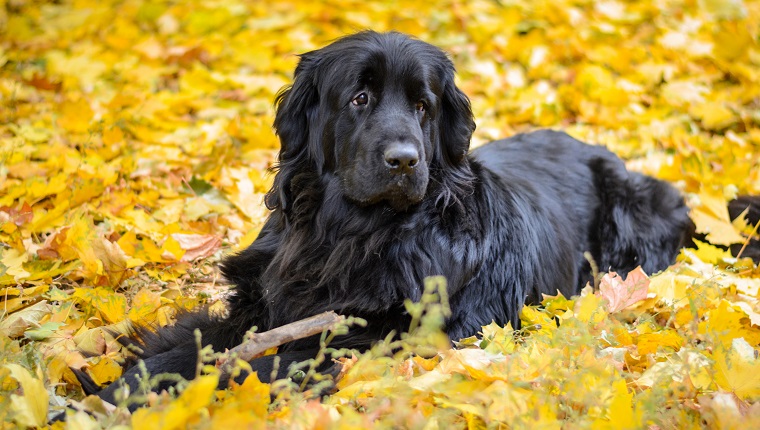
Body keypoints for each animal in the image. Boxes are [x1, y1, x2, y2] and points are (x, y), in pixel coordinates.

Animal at [87, 30, 756, 406]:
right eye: (359, 98)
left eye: (422, 106)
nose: (405, 160)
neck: (348, 234)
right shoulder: (263, 303)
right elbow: (199, 341)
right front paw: (121, 384)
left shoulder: (387, 336)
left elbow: (272, 359)